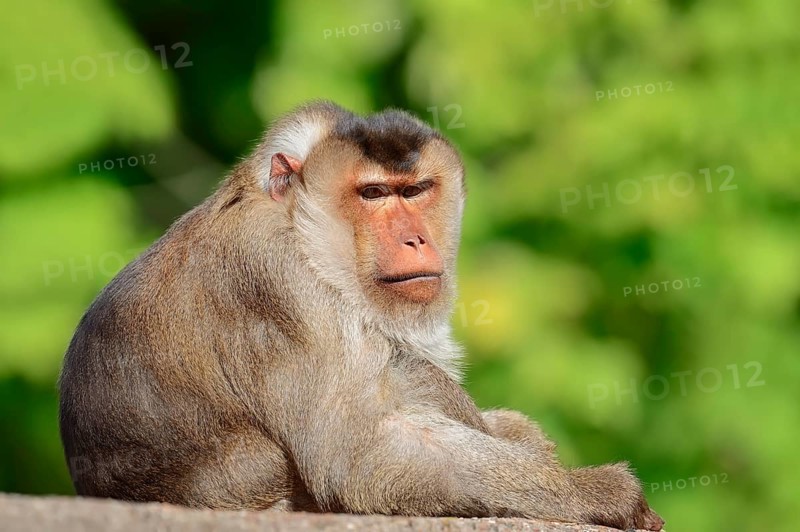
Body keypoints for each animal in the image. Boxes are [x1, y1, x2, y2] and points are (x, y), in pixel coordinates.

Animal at [58, 101, 664, 530]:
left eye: (414, 190)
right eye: (372, 194)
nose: (416, 239)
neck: (301, 231)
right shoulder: (280, 286)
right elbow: (358, 457)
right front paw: (596, 493)